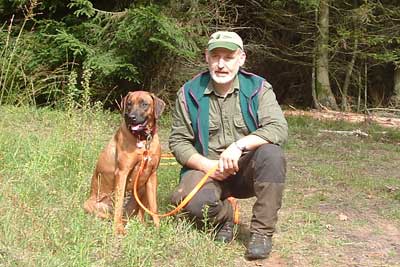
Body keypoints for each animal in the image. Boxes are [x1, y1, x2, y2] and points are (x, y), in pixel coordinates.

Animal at [83, 91, 165, 236]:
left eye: (144, 104)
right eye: (129, 103)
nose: (130, 117)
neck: (142, 140)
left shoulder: (152, 175)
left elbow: (153, 207)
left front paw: (157, 228)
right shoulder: (122, 172)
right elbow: (119, 203)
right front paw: (118, 229)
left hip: (141, 190)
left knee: (138, 212)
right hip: (91, 204)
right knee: (111, 214)